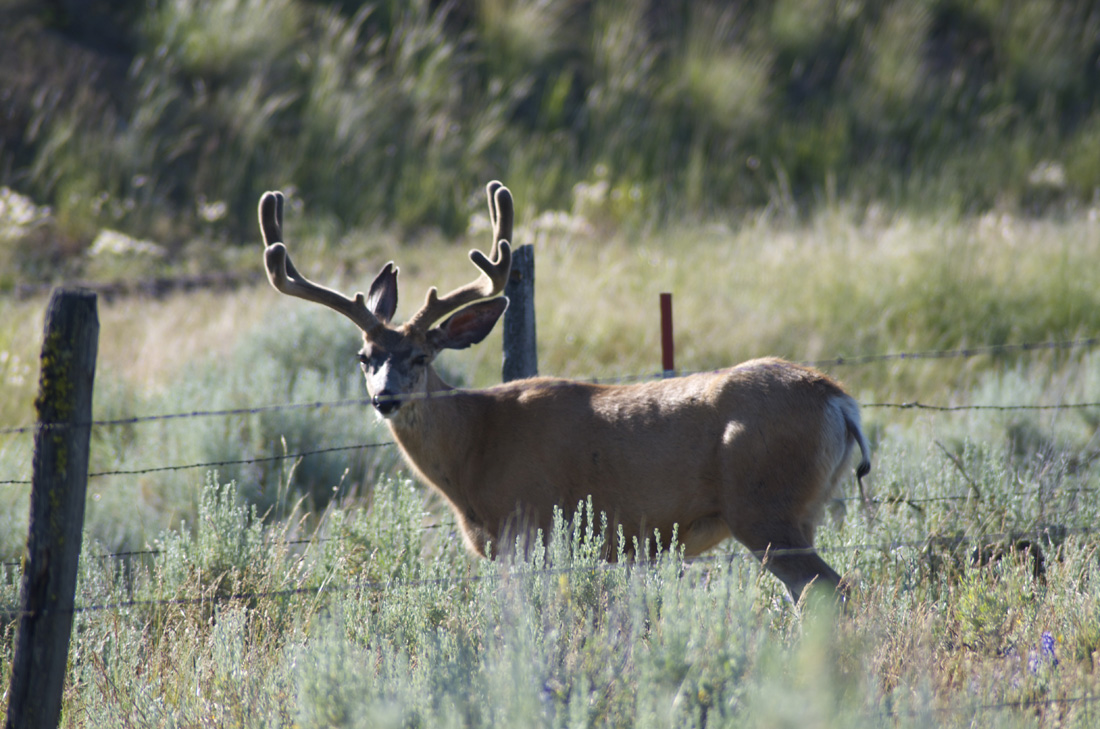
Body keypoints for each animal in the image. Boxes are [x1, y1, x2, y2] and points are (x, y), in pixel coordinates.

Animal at [256, 181, 871, 600]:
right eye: (365, 358)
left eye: (420, 356)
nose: (385, 398)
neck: (474, 449)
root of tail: (840, 401)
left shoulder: (528, 528)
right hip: (801, 508)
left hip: (764, 505)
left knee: (832, 589)